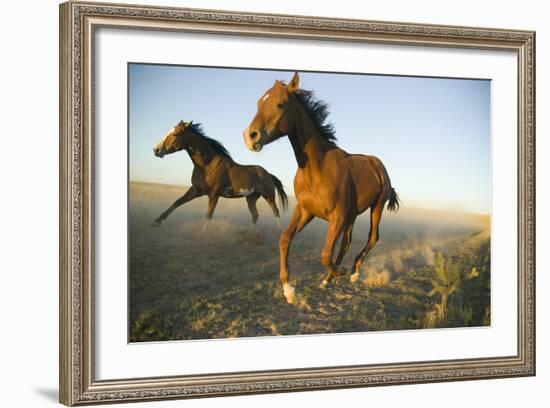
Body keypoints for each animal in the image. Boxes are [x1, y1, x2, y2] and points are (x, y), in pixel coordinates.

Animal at [151, 120, 288, 230]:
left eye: (176, 134)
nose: (156, 150)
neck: (207, 165)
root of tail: (268, 174)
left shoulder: (214, 194)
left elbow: (208, 215)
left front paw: (201, 234)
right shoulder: (196, 190)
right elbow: (177, 202)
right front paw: (156, 221)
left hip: (269, 196)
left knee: (275, 212)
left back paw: (278, 232)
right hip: (251, 198)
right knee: (255, 215)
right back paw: (251, 234)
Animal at [244, 72, 398, 302]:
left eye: (281, 104)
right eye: (258, 103)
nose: (249, 136)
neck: (318, 170)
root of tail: (377, 164)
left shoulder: (337, 217)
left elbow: (325, 254)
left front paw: (340, 271)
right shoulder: (305, 210)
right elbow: (285, 239)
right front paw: (289, 290)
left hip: (375, 207)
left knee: (372, 238)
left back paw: (353, 272)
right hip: (352, 215)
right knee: (346, 242)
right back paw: (328, 280)